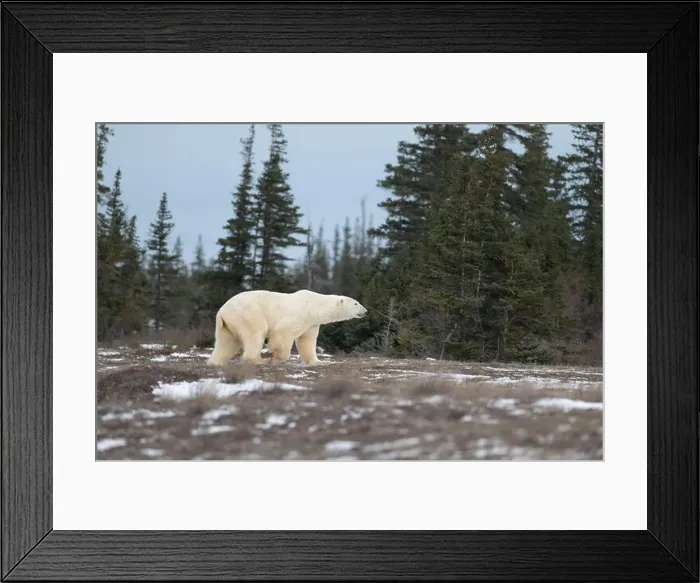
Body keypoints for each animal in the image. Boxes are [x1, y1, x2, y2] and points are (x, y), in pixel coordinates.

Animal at [206, 289, 368, 367]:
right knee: (256, 333)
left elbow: (307, 341)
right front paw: (276, 358)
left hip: (227, 325)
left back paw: (215, 362)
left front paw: (316, 361)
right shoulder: (299, 314)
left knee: (226, 343)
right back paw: (260, 360)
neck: (315, 305)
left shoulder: (311, 323)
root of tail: (222, 312)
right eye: (356, 303)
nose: (365, 311)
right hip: (248, 314)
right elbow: (282, 333)